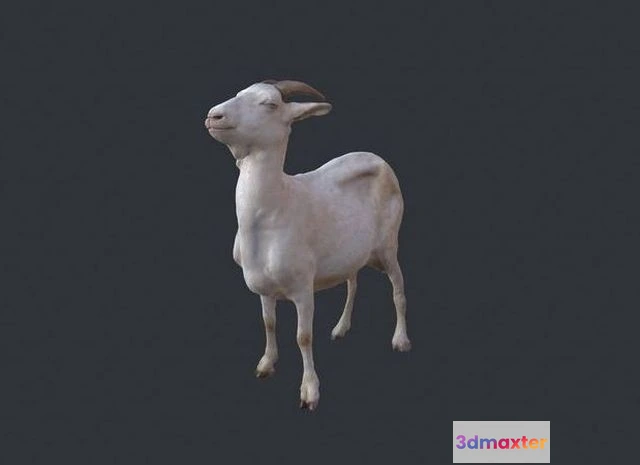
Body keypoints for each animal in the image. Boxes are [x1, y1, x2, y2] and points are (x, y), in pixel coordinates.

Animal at [204, 80, 411, 410]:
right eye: (238, 94)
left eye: (270, 104)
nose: (214, 116)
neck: (276, 207)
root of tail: (377, 158)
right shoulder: (263, 288)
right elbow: (269, 322)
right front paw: (266, 364)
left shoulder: (303, 288)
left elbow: (303, 336)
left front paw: (310, 391)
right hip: (349, 253)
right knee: (353, 283)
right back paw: (340, 328)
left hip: (389, 245)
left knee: (398, 290)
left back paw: (401, 340)